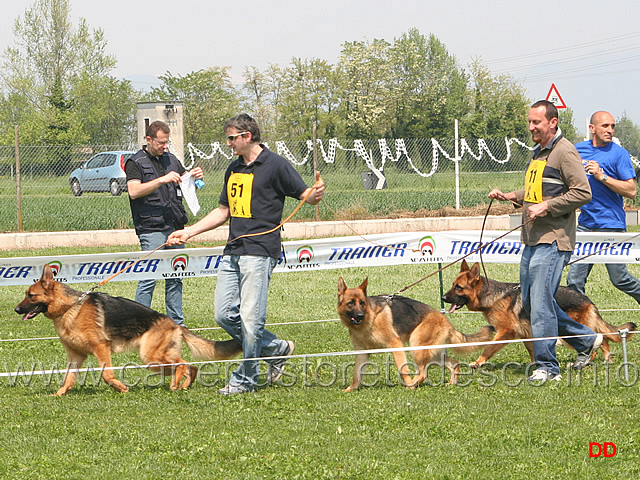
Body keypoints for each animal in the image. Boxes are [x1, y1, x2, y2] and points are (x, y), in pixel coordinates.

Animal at [15, 264, 241, 396]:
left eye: (31, 295)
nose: (16, 310)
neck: (69, 307)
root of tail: (174, 323)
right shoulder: (76, 356)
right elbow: (67, 378)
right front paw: (58, 395)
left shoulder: (101, 348)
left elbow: (107, 374)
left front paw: (121, 388)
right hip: (155, 361)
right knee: (188, 366)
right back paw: (183, 386)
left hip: (150, 357)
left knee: (182, 364)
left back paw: (176, 385)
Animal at [338, 278, 498, 390]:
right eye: (351, 303)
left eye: (362, 302)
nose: (360, 315)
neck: (369, 319)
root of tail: (446, 320)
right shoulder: (362, 353)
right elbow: (356, 374)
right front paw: (350, 389)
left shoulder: (395, 344)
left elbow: (403, 369)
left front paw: (408, 384)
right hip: (433, 353)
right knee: (454, 363)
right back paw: (451, 383)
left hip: (416, 346)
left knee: (422, 373)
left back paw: (412, 385)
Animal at [440, 258, 636, 368]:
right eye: (452, 285)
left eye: (458, 288)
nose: (443, 297)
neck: (490, 296)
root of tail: (586, 299)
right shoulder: (526, 334)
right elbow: (532, 350)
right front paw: (537, 365)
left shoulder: (506, 332)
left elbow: (489, 347)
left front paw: (478, 362)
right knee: (603, 340)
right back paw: (606, 358)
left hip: (567, 332)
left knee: (595, 340)